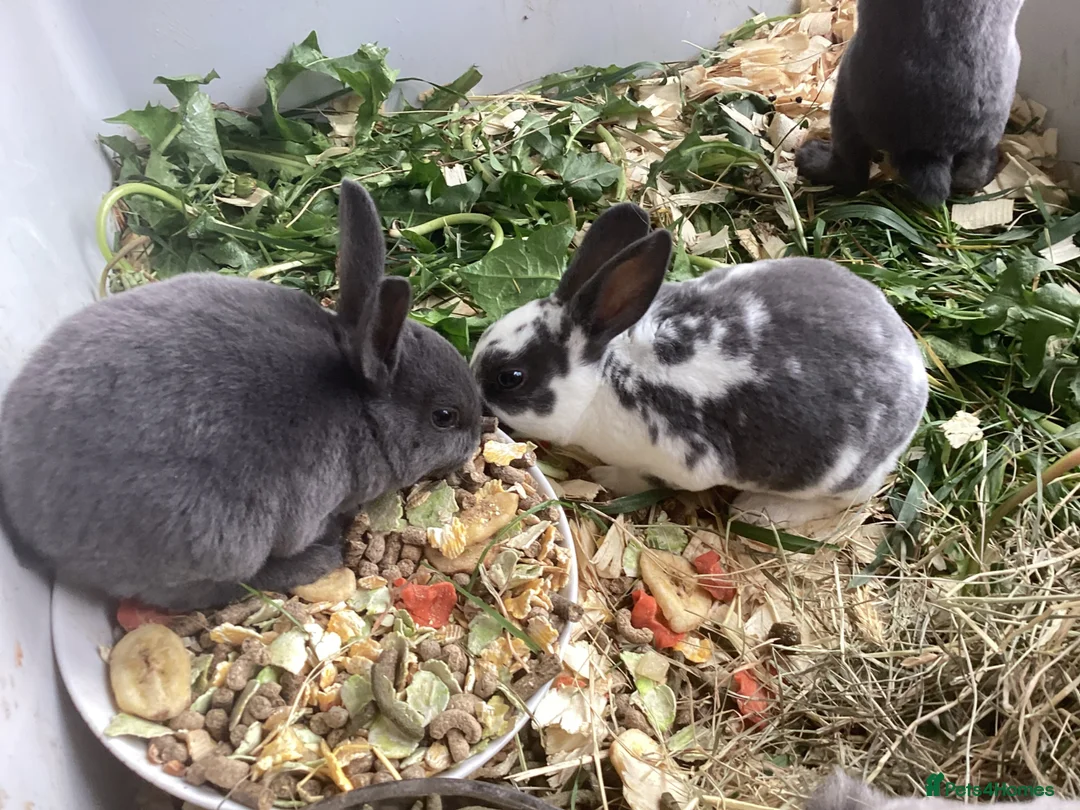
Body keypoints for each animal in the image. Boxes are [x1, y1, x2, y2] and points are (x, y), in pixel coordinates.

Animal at [0, 179, 482, 611]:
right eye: (444, 416)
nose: (476, 441)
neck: (360, 406)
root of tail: (23, 509)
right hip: (216, 546)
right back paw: (321, 555)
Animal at [470, 203, 928, 528]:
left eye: (511, 377)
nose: (472, 397)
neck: (604, 376)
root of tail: (917, 382)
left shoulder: (676, 462)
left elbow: (643, 479)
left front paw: (606, 477)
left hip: (837, 478)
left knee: (849, 501)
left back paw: (761, 510)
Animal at [795, 0, 1025, 207]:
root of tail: (932, 150)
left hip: (845, 101)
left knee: (852, 169)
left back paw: (811, 158)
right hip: (987, 131)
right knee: (972, 173)